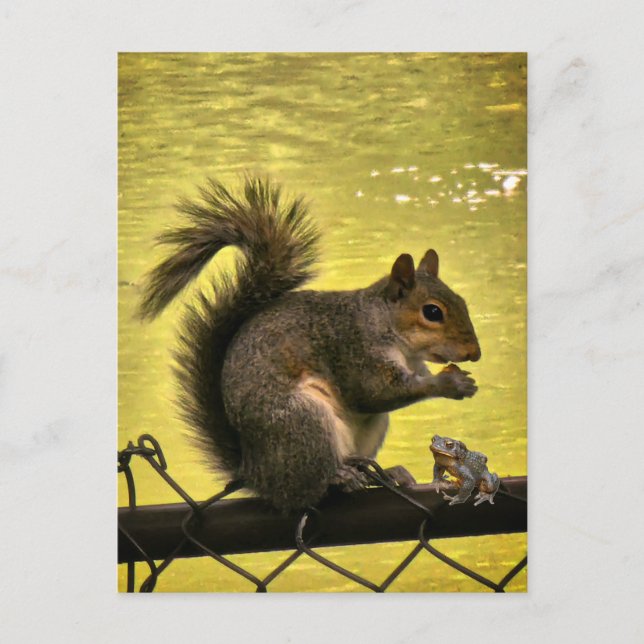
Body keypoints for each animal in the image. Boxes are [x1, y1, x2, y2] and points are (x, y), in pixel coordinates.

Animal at [139, 176, 481, 513]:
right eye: (432, 312)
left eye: (463, 301)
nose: (474, 354)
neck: (387, 327)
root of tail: (256, 474)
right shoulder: (354, 349)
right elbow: (375, 392)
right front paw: (451, 383)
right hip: (303, 421)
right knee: (306, 491)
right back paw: (340, 477)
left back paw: (383, 472)